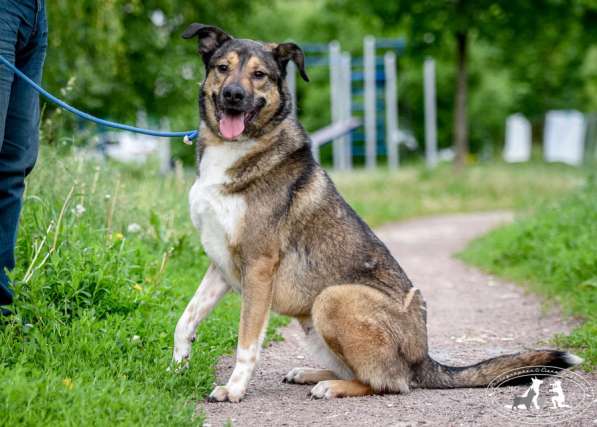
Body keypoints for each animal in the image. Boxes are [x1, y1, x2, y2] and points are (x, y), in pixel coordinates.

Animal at [171, 23, 584, 404]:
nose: (233, 95)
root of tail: (424, 360)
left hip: (333, 299)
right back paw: (311, 373)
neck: (235, 150)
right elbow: (185, 319)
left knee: (390, 381)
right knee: (366, 371)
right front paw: (176, 368)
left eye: (260, 75)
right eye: (222, 68)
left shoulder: (258, 265)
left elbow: (247, 343)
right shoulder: (221, 264)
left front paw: (233, 389)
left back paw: (331, 385)